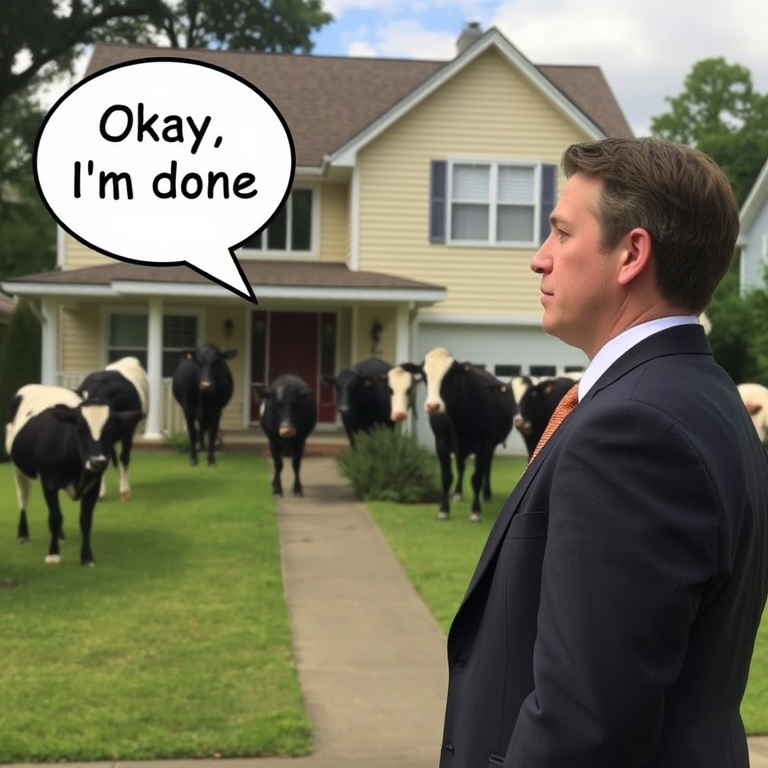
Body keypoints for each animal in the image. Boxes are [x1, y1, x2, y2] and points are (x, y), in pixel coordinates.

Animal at [5, 384, 137, 564]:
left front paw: (87, 557)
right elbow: (55, 518)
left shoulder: (93, 486)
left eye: (109, 430)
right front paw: (53, 555)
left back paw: (60, 536)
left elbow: (85, 520)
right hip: (18, 468)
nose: (98, 461)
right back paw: (23, 535)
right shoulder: (49, 483)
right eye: (80, 429)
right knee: (22, 498)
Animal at [400, 348, 512, 520]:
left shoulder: (484, 444)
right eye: (424, 375)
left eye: (450, 374)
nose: (433, 405)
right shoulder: (441, 443)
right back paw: (458, 493)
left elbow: (476, 478)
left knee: (487, 468)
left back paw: (486, 495)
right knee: (461, 466)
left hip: (490, 446)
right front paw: (443, 509)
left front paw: (475, 511)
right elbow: (446, 477)